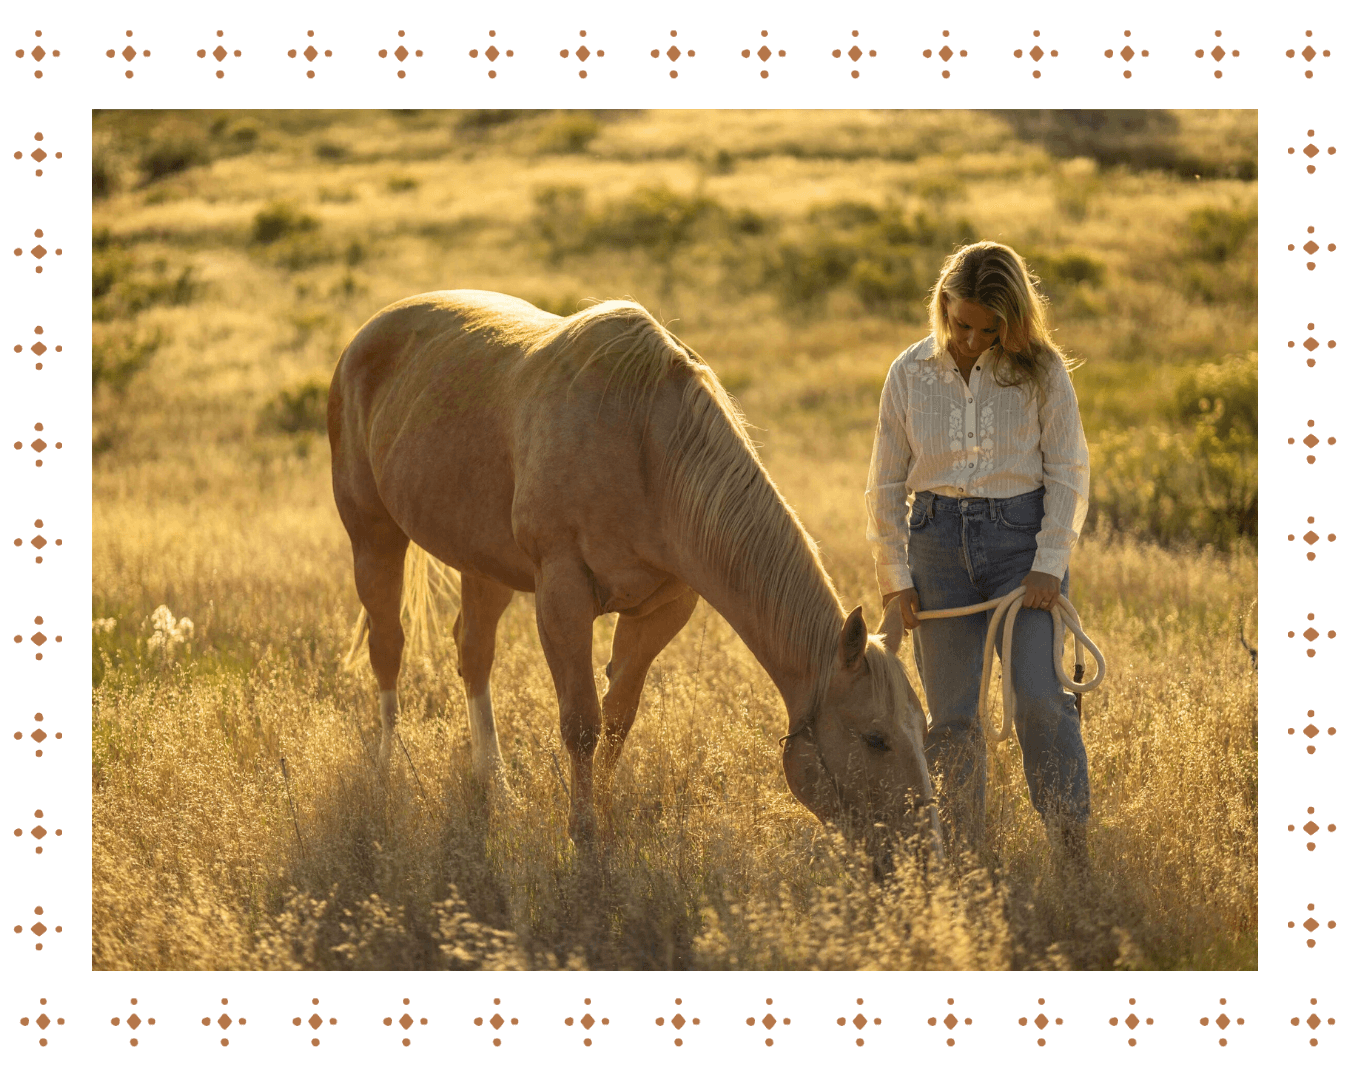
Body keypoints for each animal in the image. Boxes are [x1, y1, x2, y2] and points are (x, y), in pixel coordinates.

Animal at [328, 289, 943, 870]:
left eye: (922, 728)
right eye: (876, 738)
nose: (925, 854)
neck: (646, 449)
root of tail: (366, 337)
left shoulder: (662, 608)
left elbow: (618, 719)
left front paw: (603, 818)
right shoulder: (563, 596)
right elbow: (580, 723)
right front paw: (582, 838)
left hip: (484, 565)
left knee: (473, 653)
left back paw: (496, 785)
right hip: (372, 537)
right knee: (388, 647)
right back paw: (388, 774)